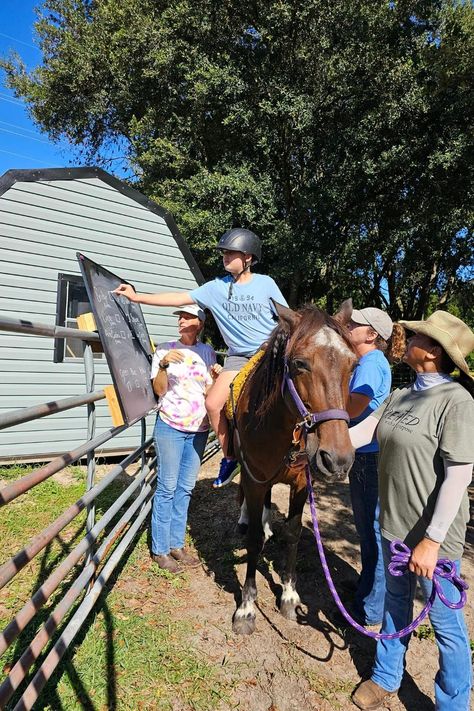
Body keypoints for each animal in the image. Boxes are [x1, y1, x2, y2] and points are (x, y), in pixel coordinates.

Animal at [230, 298, 356, 636]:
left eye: (352, 364)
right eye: (299, 363)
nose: (338, 459)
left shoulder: (300, 484)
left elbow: (294, 533)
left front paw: (288, 594)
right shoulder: (254, 478)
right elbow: (253, 541)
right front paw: (246, 607)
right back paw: (247, 519)